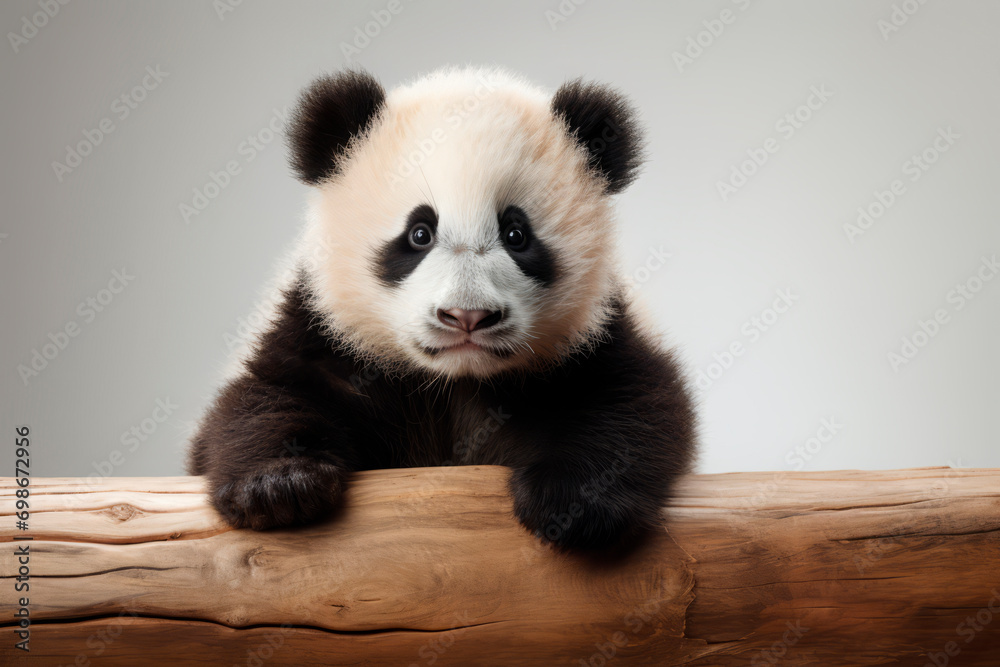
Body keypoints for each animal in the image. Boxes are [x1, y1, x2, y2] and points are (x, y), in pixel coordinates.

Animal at [187, 67, 696, 551]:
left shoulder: (595, 332)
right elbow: (268, 395)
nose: (467, 317)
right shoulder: (320, 325)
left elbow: (633, 402)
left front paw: (572, 504)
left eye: (516, 234)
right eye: (419, 233)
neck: (458, 382)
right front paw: (279, 486)